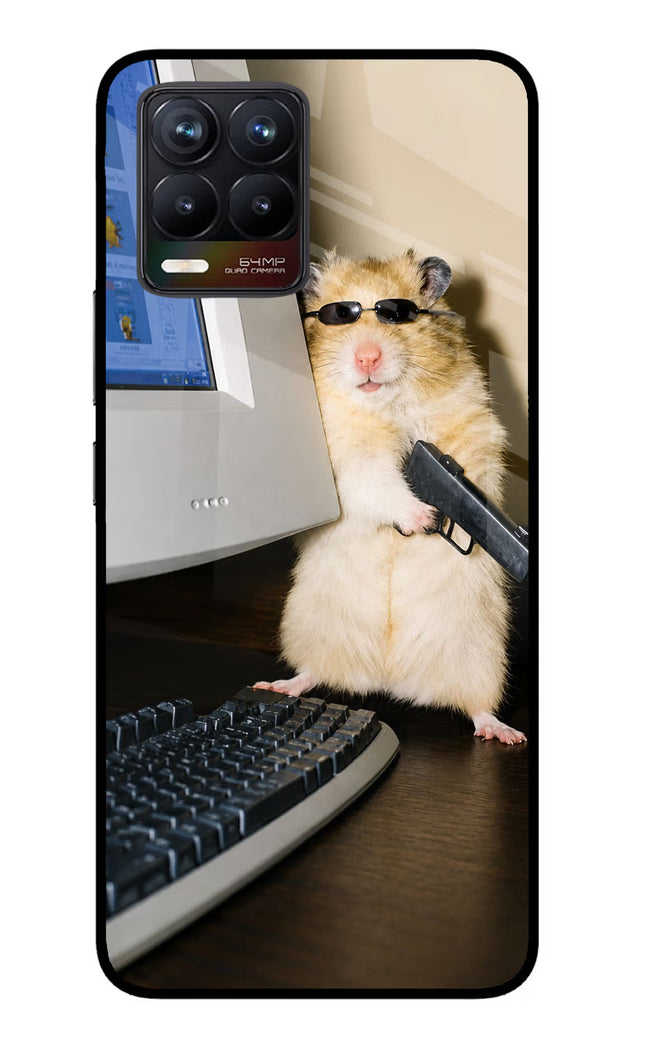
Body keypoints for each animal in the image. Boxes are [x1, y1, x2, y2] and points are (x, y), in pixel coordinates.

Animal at [255, 249, 526, 744]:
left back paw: (504, 733)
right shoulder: (347, 458)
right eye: (339, 316)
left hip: (480, 654)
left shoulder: (472, 429)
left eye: (397, 314)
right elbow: (378, 483)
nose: (367, 357)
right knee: (314, 672)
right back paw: (279, 685)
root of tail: (388, 679)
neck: (386, 404)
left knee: (477, 706)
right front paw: (423, 518)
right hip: (311, 626)